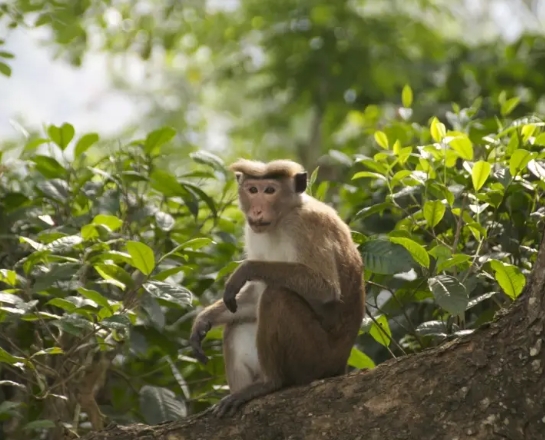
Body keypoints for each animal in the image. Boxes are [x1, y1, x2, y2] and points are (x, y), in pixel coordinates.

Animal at [188, 158, 366, 416]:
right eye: (253, 190)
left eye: (270, 190)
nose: (257, 210)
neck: (283, 217)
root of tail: (340, 364)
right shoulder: (252, 231)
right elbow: (251, 298)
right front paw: (204, 319)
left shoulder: (306, 224)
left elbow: (325, 288)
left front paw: (245, 270)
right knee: (237, 325)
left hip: (315, 358)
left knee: (277, 296)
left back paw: (269, 383)